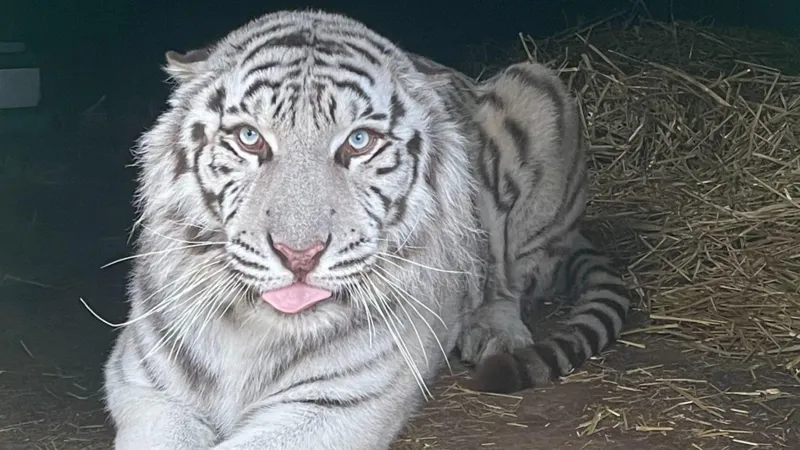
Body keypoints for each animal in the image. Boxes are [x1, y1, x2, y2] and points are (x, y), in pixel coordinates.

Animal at [102, 9, 631, 450]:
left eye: (359, 142)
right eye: (249, 138)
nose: (299, 255)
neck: (252, 329)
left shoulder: (334, 404)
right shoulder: (147, 389)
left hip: (536, 87)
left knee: (506, 279)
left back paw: (496, 333)